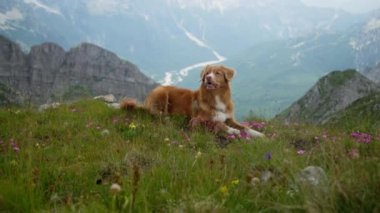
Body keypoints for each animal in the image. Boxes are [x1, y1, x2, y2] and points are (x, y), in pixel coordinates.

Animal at [121, 64, 264, 137]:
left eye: (217, 73)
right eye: (207, 73)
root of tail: (146, 100)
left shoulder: (229, 118)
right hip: (161, 92)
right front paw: (232, 130)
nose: (208, 78)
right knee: (157, 114)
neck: (216, 97)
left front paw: (259, 134)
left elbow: (245, 127)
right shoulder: (198, 120)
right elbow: (218, 123)